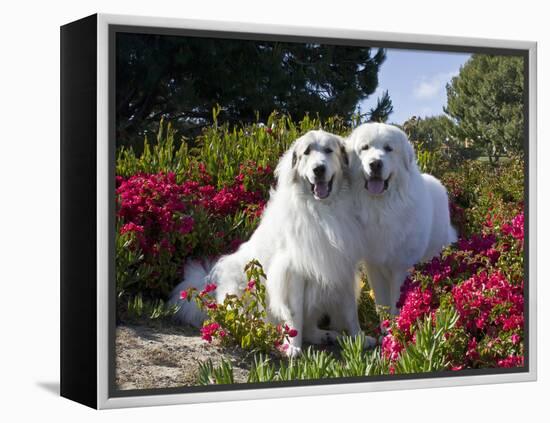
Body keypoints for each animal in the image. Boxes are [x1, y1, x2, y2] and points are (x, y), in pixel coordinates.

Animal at [168, 130, 366, 358]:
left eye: (328, 150)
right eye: (307, 152)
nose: (318, 169)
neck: (322, 209)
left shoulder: (343, 266)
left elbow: (351, 311)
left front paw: (360, 338)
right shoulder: (293, 272)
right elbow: (294, 314)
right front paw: (293, 346)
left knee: (310, 327)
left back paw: (326, 335)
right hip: (239, 287)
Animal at [348, 122, 460, 314]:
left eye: (388, 148)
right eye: (365, 147)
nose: (375, 164)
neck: (380, 207)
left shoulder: (401, 267)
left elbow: (396, 304)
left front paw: (397, 322)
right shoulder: (374, 267)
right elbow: (382, 303)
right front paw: (386, 322)